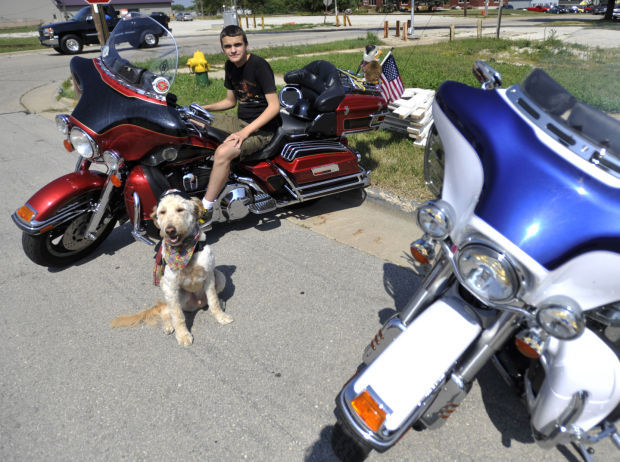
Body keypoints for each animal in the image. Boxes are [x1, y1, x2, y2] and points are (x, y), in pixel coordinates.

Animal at [109, 189, 232, 344]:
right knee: (167, 311)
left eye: (180, 209)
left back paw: (220, 303)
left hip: (220, 277)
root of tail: (198, 303)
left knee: (209, 300)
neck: (185, 251)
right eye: (162, 212)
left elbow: (213, 301)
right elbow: (177, 316)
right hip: (174, 292)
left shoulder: (209, 276)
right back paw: (168, 325)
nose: (169, 230)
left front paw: (220, 316)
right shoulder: (170, 286)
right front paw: (183, 335)